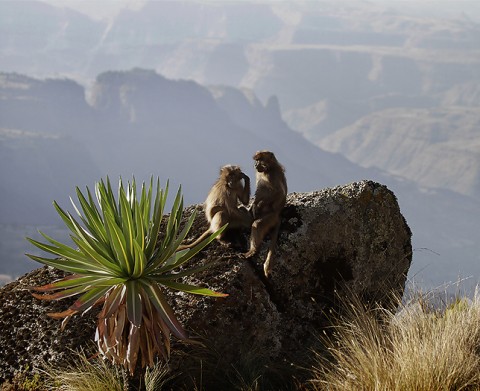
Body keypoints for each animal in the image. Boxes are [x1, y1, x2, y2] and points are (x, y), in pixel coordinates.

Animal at [246, 150, 286, 278]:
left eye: (259, 160)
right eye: (256, 160)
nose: (255, 164)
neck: (268, 168)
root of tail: (278, 216)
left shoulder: (271, 176)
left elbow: (278, 192)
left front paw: (257, 205)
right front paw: (253, 205)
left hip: (270, 217)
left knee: (257, 224)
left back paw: (253, 251)